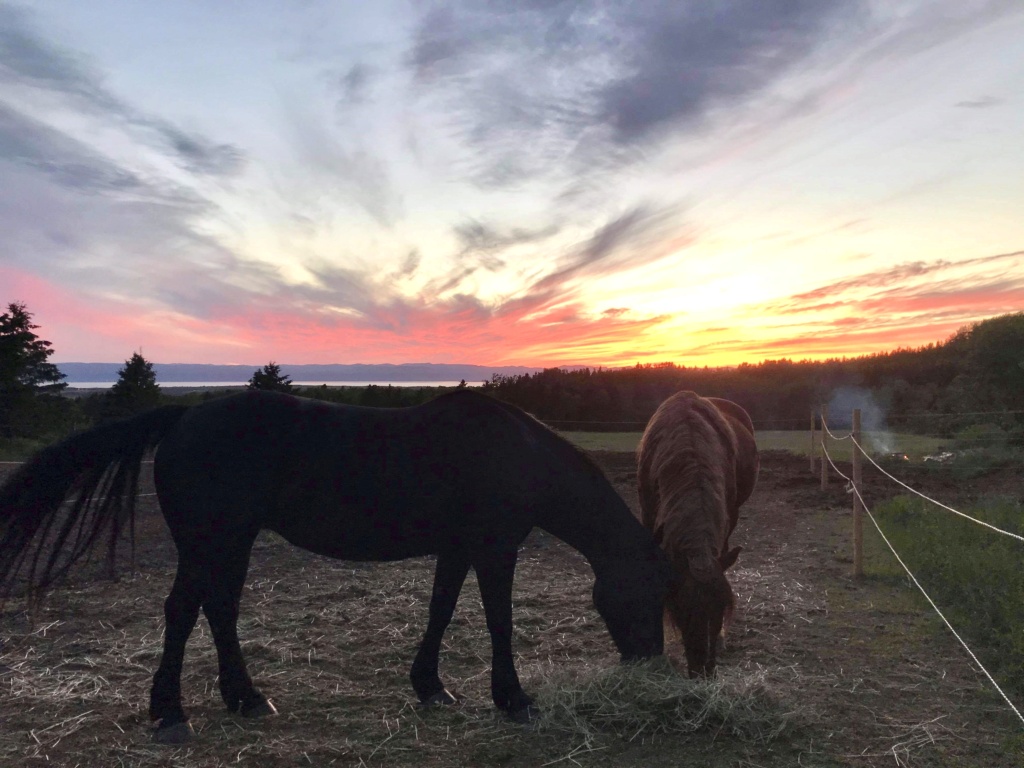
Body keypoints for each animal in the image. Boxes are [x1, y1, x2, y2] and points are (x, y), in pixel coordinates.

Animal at [0, 391, 671, 745]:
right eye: (651, 593)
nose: (650, 662)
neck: (516, 453)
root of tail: (184, 415)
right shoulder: (493, 547)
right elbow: (497, 620)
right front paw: (513, 698)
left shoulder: (457, 548)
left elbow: (441, 610)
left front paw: (431, 685)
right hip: (210, 541)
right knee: (184, 612)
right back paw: (170, 712)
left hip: (230, 544)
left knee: (219, 609)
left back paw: (245, 698)